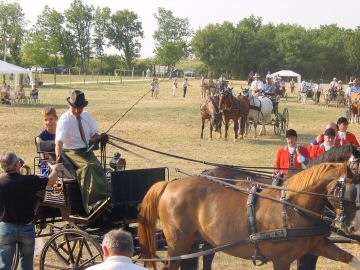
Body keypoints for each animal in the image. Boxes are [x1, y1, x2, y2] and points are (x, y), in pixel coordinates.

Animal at [138, 162, 360, 270]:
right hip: (178, 243)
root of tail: (170, 183)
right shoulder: (281, 259)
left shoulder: (317, 246)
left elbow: (350, 258)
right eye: (350, 191)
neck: (292, 208)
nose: (353, 228)